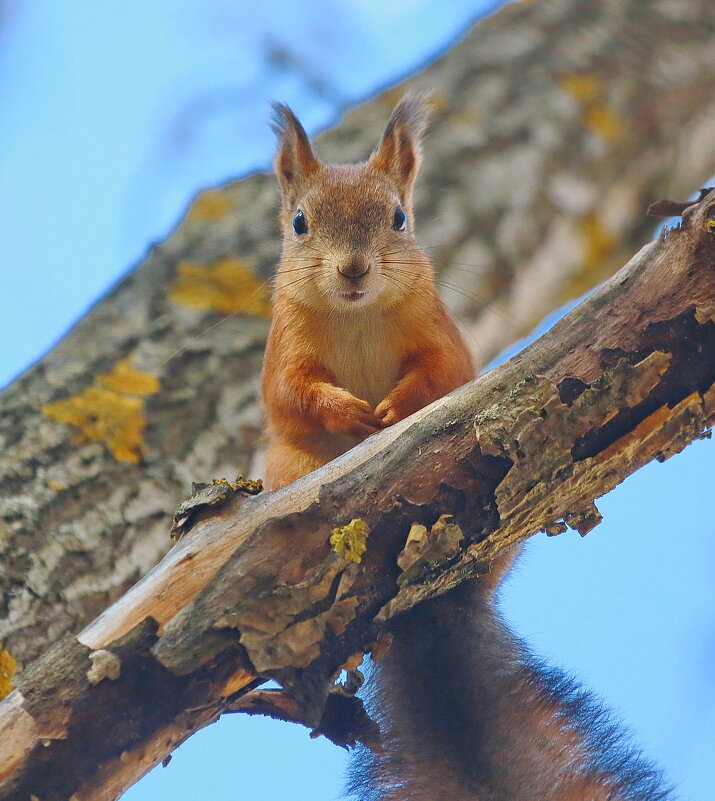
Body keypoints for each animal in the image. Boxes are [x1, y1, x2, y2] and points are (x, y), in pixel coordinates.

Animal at [262, 94, 672, 800]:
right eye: (299, 223)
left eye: (399, 218)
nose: (353, 270)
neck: (355, 314)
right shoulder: (283, 350)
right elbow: (291, 396)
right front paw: (348, 410)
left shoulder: (440, 332)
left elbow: (443, 373)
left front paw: (395, 407)